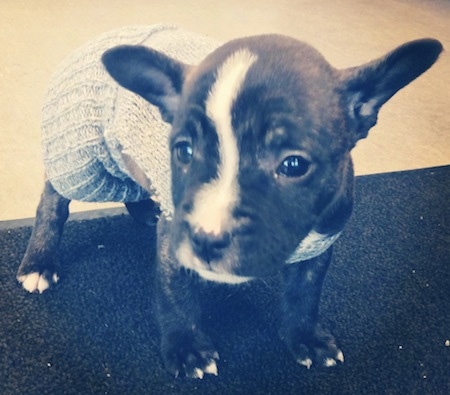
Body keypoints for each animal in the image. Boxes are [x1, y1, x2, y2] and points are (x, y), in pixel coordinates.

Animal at [14, 25, 442, 380]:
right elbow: (176, 295)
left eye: (294, 164)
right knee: (55, 196)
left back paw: (145, 210)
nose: (207, 238)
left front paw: (306, 338)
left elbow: (304, 295)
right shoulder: (175, 241)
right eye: (183, 151)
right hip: (82, 160)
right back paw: (39, 261)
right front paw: (186, 348)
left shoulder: (320, 245)